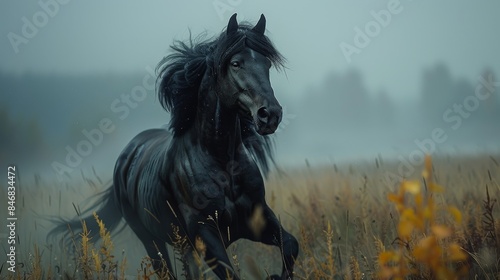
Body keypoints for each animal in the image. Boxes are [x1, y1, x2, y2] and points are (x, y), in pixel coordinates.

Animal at [50, 13, 296, 280]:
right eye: (235, 63)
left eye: (267, 64)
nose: (270, 115)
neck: (221, 161)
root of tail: (126, 155)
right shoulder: (205, 235)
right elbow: (231, 273)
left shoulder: (257, 219)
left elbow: (290, 245)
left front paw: (277, 276)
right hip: (152, 241)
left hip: (184, 246)